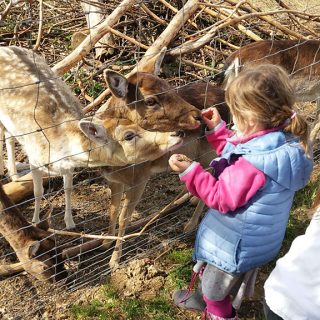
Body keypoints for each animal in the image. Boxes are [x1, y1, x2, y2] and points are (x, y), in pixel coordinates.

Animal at [0, 45, 199, 230]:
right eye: (128, 135)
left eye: (170, 87)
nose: (197, 116)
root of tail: (7, 47)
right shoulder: (35, 158)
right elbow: (38, 190)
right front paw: (34, 221)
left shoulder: (69, 166)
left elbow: (68, 188)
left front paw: (70, 223)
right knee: (7, 135)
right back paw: (14, 173)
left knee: (9, 134)